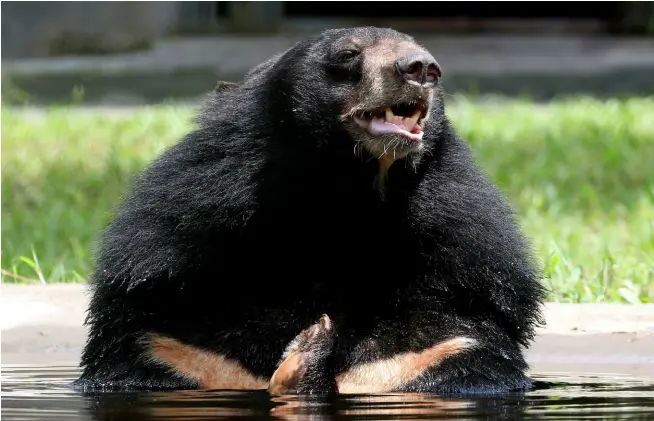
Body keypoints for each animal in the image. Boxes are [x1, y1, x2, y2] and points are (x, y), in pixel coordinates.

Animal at [72, 26, 544, 394]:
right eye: (348, 55)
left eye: (421, 52)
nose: (421, 68)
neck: (337, 202)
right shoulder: (176, 290)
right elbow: (148, 352)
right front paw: (310, 349)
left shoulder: (455, 286)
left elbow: (458, 353)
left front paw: (309, 351)